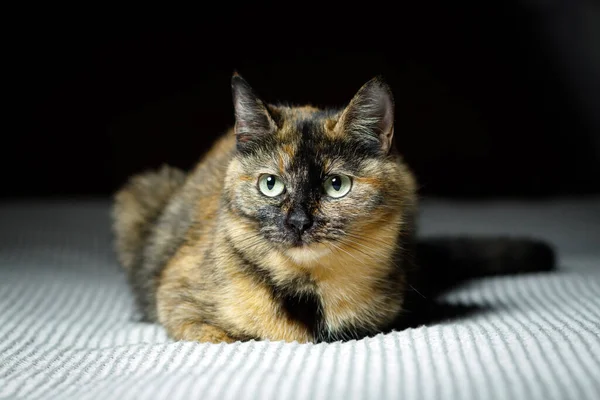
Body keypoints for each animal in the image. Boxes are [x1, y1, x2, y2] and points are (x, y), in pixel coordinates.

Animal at [111, 73, 552, 342]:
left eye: (336, 185)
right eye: (270, 184)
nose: (298, 221)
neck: (310, 294)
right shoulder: (177, 298)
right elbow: (213, 333)